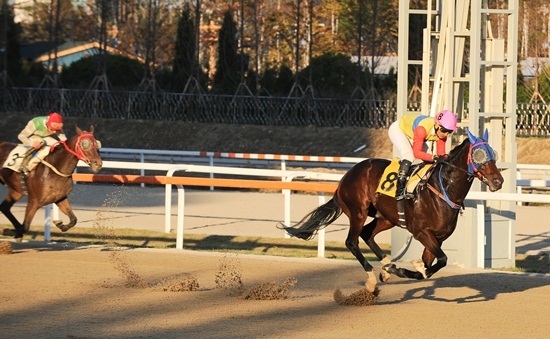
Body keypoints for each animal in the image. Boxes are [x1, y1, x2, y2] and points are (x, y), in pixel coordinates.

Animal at [282, 129, 506, 294]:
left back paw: (387, 267)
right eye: (479, 155)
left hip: (386, 218)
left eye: (493, 154)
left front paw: (403, 269)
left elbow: (430, 265)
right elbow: (441, 260)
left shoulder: (438, 238)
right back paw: (372, 278)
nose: (498, 181)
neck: (442, 189)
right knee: (352, 241)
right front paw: (404, 269)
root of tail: (345, 177)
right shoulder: (422, 232)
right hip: (358, 211)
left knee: (367, 234)